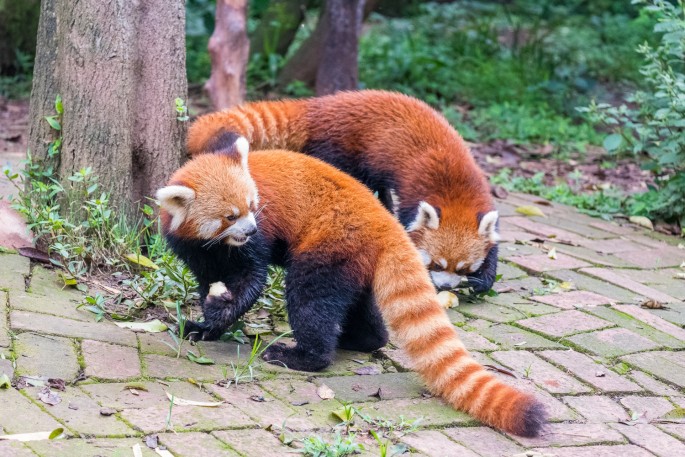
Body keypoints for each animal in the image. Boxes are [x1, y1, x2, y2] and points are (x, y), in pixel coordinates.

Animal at [156, 140, 544, 438]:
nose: (250, 229)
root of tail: (385, 221)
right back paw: (361, 339)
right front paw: (204, 324)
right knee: (358, 306)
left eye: (253, 207)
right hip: (355, 260)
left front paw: (222, 311)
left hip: (330, 242)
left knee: (310, 298)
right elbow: (208, 278)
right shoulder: (197, 250)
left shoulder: (257, 242)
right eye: (230, 216)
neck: (215, 245)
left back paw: (303, 355)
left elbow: (253, 278)